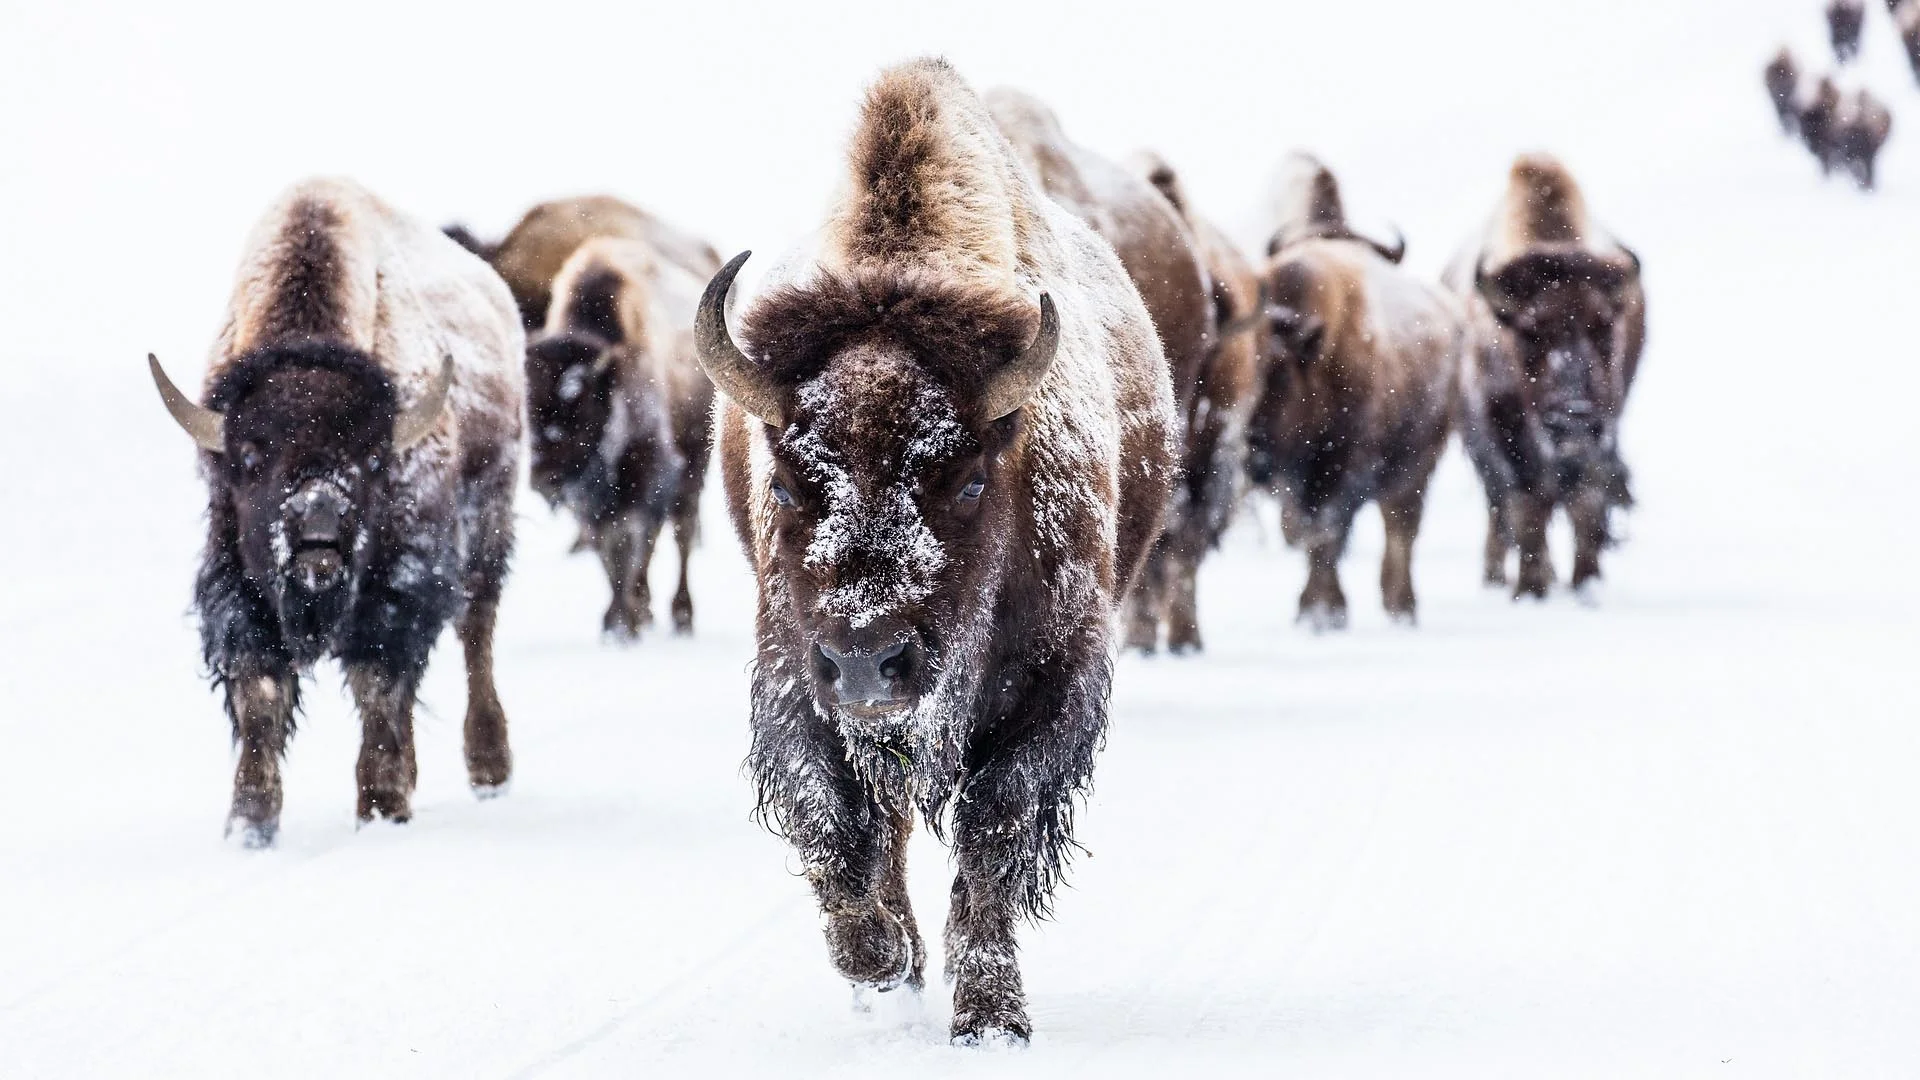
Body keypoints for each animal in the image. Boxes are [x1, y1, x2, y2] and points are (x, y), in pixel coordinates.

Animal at [148, 177, 524, 844]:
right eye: (249, 458)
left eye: (373, 458)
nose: (318, 538)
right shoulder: (237, 587)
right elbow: (260, 694)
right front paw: (250, 824)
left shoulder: (398, 590)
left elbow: (378, 686)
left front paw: (380, 806)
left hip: (489, 529)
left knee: (476, 634)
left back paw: (489, 770)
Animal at [526, 236, 715, 638]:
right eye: (526, 405)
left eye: (577, 404)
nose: (542, 477)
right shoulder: (589, 499)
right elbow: (606, 550)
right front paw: (619, 621)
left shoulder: (645, 478)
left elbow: (628, 545)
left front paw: (621, 623)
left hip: (693, 467)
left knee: (682, 532)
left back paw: (681, 615)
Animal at [700, 58, 1176, 1044]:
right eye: (786, 483)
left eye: (964, 480)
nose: (869, 662)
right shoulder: (796, 680)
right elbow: (834, 823)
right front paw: (882, 964)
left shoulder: (1054, 688)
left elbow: (993, 832)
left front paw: (990, 1019)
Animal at [1445, 154, 1646, 598]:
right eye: (1529, 332)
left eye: (1604, 326)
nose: (1574, 417)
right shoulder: (1504, 440)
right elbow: (1527, 510)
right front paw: (1531, 588)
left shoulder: (1602, 435)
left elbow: (1585, 506)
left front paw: (1587, 582)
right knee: (1502, 509)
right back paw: (1498, 577)